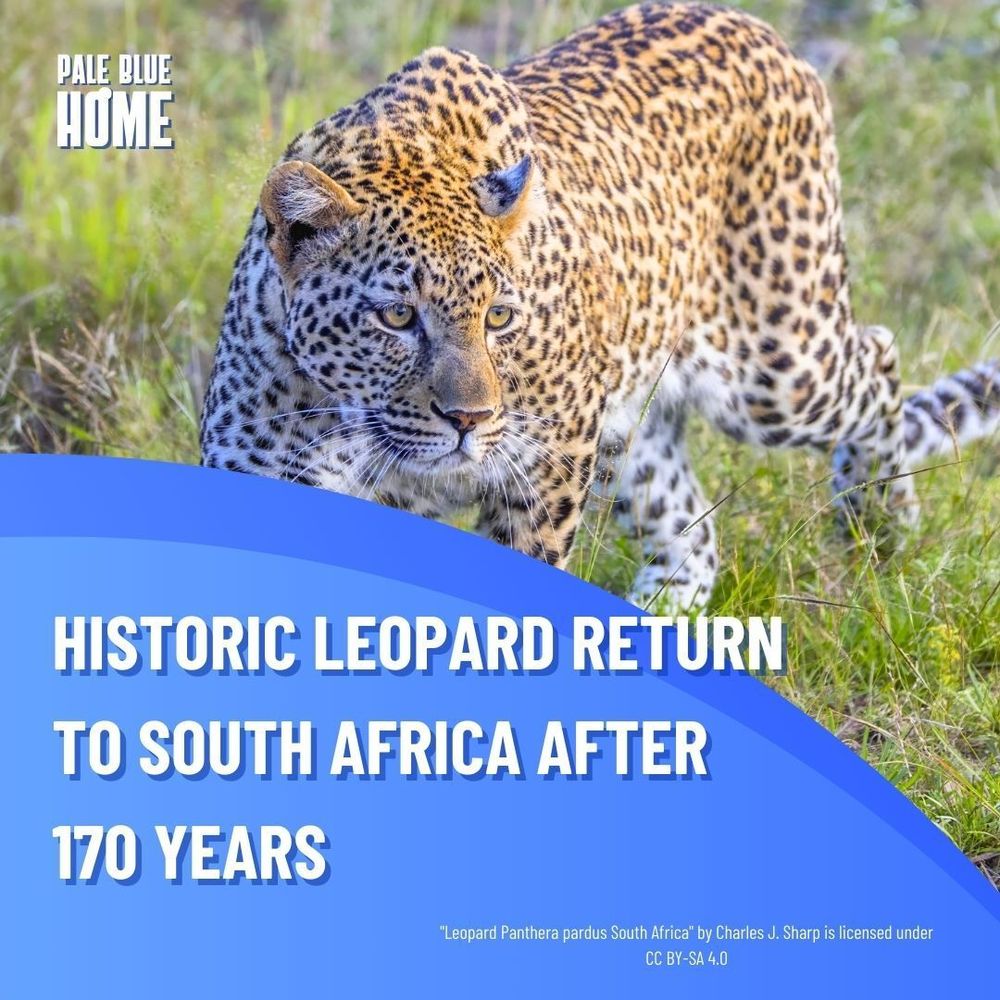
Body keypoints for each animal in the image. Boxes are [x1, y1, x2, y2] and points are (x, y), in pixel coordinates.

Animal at [201, 2, 999, 608]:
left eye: (499, 317)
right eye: (397, 316)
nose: (470, 421)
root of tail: (758, 27)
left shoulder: (546, 467)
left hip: (777, 368)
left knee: (878, 356)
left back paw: (880, 521)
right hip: (635, 419)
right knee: (691, 535)